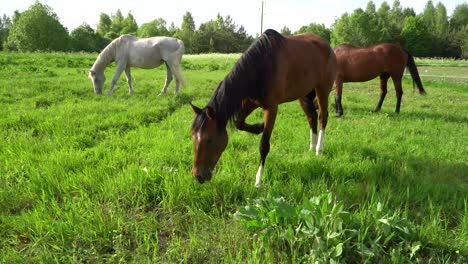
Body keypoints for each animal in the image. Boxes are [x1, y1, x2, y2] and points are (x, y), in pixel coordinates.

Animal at [190, 29, 336, 188]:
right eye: (193, 137)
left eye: (209, 140)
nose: (197, 176)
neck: (261, 67)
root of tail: (327, 46)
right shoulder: (250, 102)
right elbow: (239, 122)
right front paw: (259, 126)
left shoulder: (271, 108)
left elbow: (263, 145)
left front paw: (258, 180)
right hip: (303, 94)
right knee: (312, 117)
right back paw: (311, 147)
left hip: (322, 90)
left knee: (323, 118)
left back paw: (318, 150)